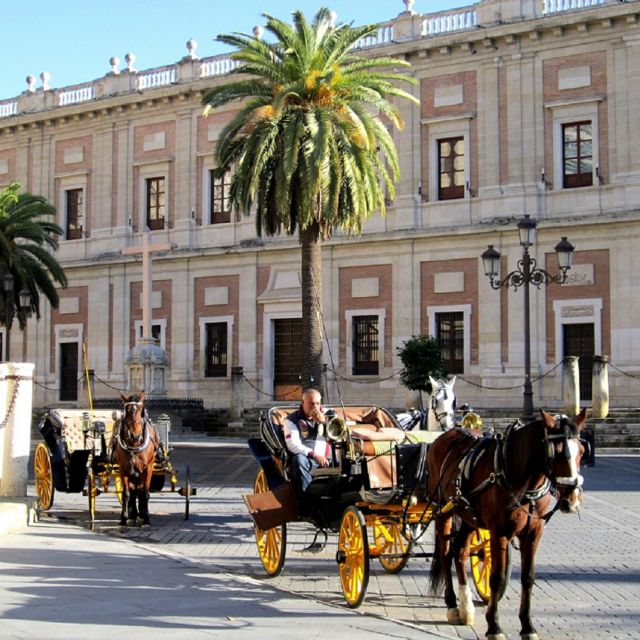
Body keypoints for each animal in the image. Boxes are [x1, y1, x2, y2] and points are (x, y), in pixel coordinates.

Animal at [112, 392, 159, 528]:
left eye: (141, 411)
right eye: (126, 411)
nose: (135, 435)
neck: (134, 445)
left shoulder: (148, 469)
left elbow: (145, 493)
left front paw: (146, 517)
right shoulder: (123, 469)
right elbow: (126, 493)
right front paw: (124, 518)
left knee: (140, 490)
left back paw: (141, 514)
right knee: (134, 491)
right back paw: (133, 514)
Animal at [428, 410, 588, 640]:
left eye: (582, 451)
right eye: (556, 453)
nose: (572, 500)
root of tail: (446, 435)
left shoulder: (534, 532)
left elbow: (528, 577)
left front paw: (528, 626)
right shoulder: (499, 532)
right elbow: (497, 577)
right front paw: (494, 627)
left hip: (469, 516)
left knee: (459, 551)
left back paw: (466, 607)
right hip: (443, 510)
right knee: (444, 552)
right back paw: (452, 606)